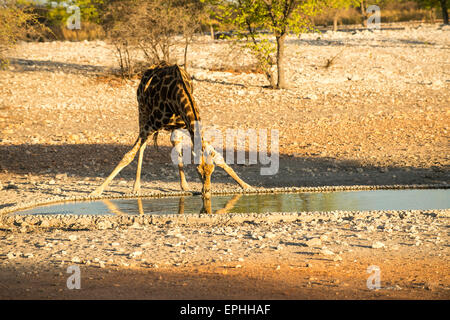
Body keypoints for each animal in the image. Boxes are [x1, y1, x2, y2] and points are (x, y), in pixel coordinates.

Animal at [90, 61, 253, 199]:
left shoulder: (187, 126)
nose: (206, 192)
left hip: (172, 128)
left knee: (175, 145)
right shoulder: (151, 124)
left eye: (211, 170)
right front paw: (97, 191)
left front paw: (246, 186)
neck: (178, 95)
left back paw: (184, 186)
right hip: (142, 112)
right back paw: (136, 187)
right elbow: (128, 155)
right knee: (142, 147)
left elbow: (218, 157)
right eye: (198, 171)